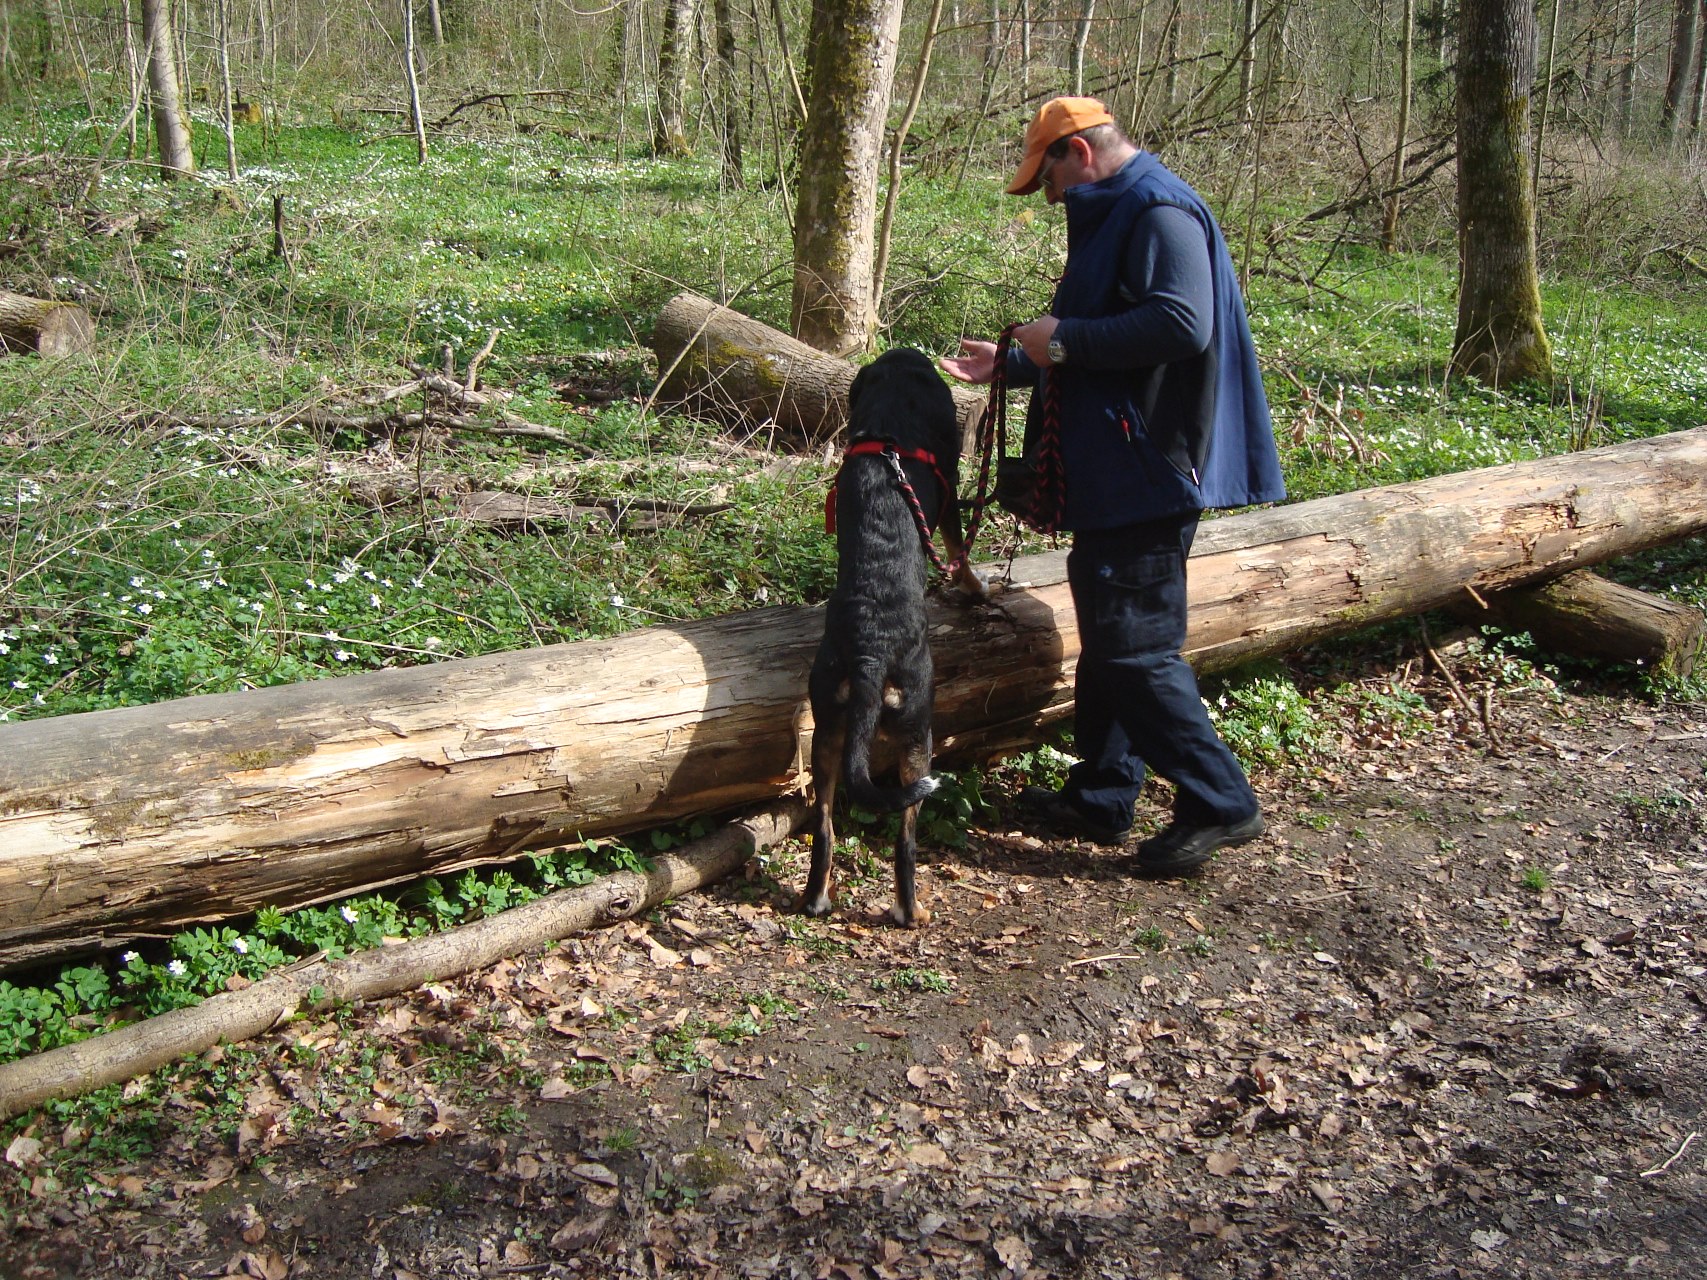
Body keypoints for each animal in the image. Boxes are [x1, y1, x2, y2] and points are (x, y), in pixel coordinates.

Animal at [802, 348, 990, 935]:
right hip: (919, 734)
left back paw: (816, 898)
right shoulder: (950, 497)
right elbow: (957, 550)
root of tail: (869, 651)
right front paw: (974, 587)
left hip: (827, 731)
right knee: (905, 842)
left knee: (824, 826)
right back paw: (912, 910)